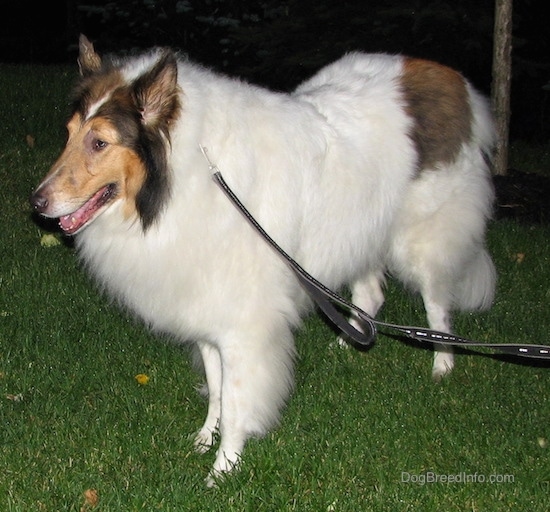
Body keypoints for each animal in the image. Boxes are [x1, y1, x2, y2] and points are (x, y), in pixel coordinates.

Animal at [32, 35, 498, 484]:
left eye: (99, 142)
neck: (189, 177)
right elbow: (218, 389)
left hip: (423, 239)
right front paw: (206, 438)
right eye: (68, 133)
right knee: (370, 293)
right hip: (361, 233)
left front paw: (223, 469)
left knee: (437, 304)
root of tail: (453, 80)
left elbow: (237, 400)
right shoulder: (208, 311)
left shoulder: (245, 327)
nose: (36, 203)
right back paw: (347, 343)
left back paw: (442, 365)